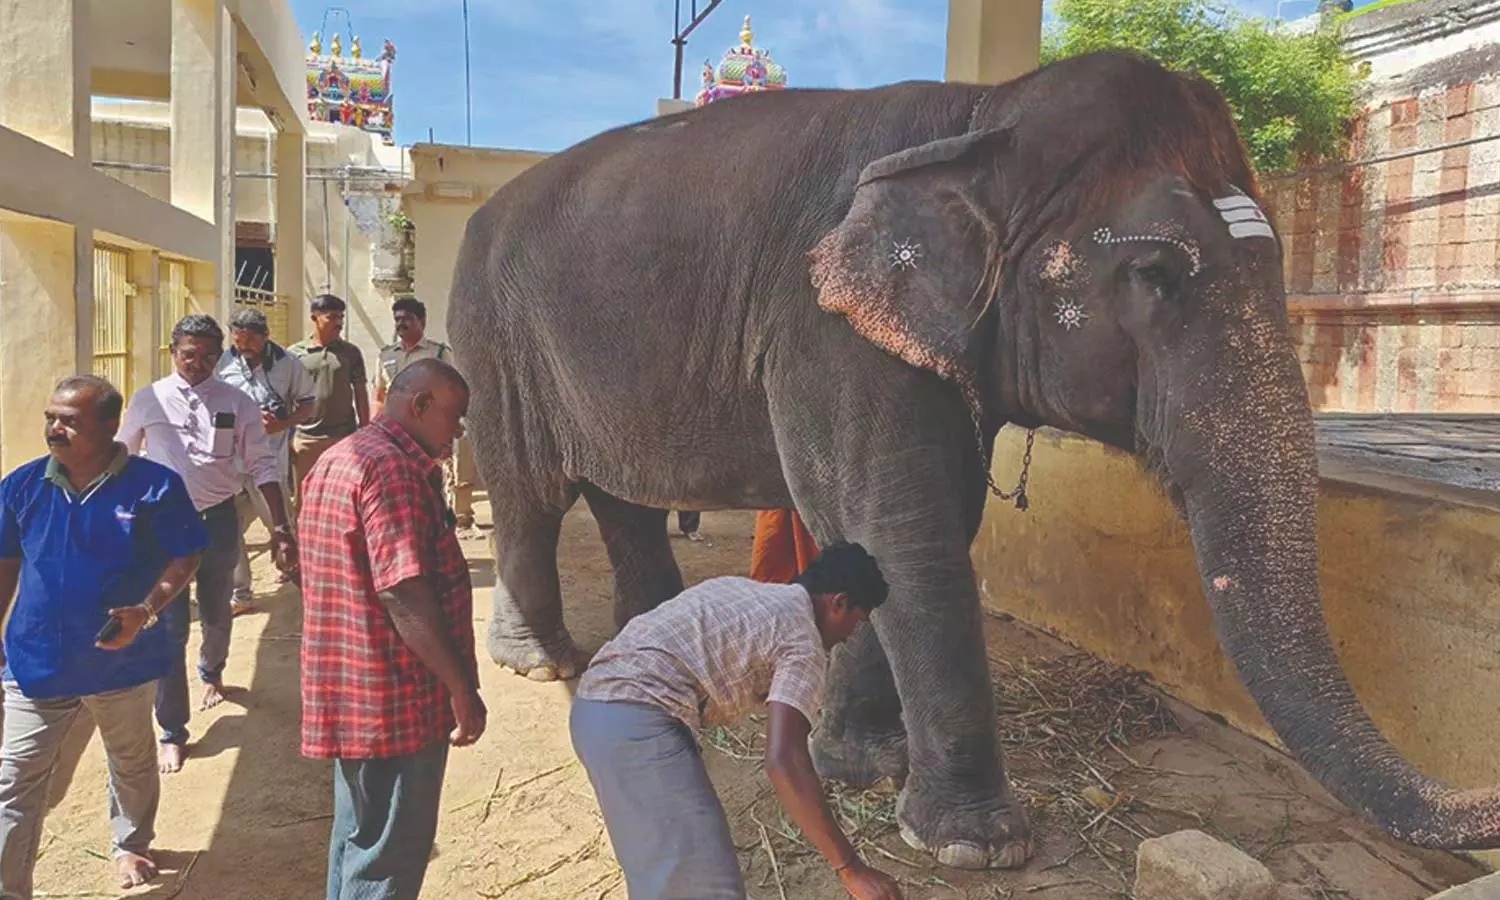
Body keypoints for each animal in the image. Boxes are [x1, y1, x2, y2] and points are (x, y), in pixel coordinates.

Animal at [447, 47, 1500, 864]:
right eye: (1152, 274)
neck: (982, 119)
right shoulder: (823, 327)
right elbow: (894, 523)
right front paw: (974, 847)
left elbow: (911, 521)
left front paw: (862, 768)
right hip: (492, 334)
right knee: (533, 489)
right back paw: (542, 666)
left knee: (613, 491)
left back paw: (642, 637)